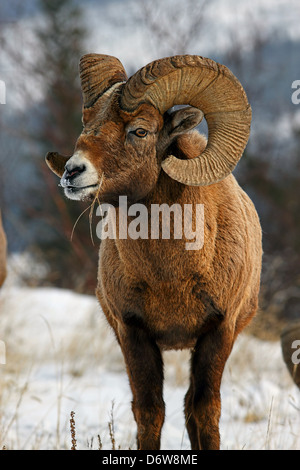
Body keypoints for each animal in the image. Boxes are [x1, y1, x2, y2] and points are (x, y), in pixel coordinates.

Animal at [46, 53, 262, 450]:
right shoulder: (133, 332)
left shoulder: (219, 332)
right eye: (87, 124)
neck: (170, 277)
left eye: (140, 131)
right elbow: (149, 412)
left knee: (192, 406)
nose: (72, 172)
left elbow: (206, 411)